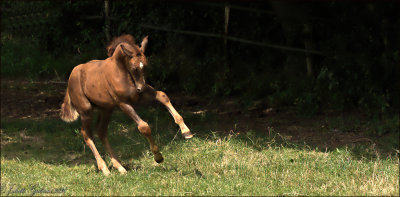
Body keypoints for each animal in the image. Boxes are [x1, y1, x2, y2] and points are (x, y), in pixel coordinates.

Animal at [60, 33, 193, 175]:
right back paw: (104, 169)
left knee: (101, 131)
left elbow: (163, 96)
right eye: (134, 68)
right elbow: (144, 126)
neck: (122, 73)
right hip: (86, 111)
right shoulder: (123, 103)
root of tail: (70, 81)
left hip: (106, 109)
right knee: (86, 134)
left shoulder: (142, 94)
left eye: (146, 66)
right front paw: (158, 157)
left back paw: (120, 167)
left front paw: (186, 132)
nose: (140, 88)